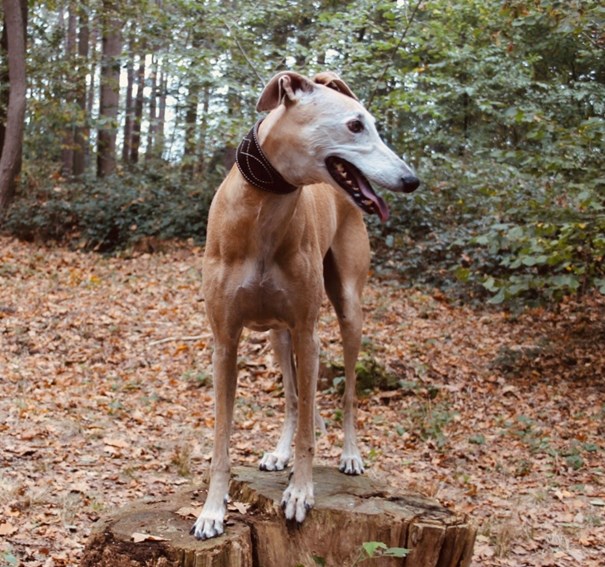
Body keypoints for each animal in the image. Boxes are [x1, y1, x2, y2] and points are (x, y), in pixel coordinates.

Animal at [192, 71, 419, 540]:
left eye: (373, 124)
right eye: (355, 125)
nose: (411, 179)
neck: (263, 210)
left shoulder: (308, 332)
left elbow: (309, 435)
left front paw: (299, 492)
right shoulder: (225, 341)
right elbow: (222, 437)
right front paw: (212, 510)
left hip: (347, 312)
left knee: (347, 393)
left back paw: (350, 455)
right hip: (280, 335)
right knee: (295, 398)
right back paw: (279, 452)